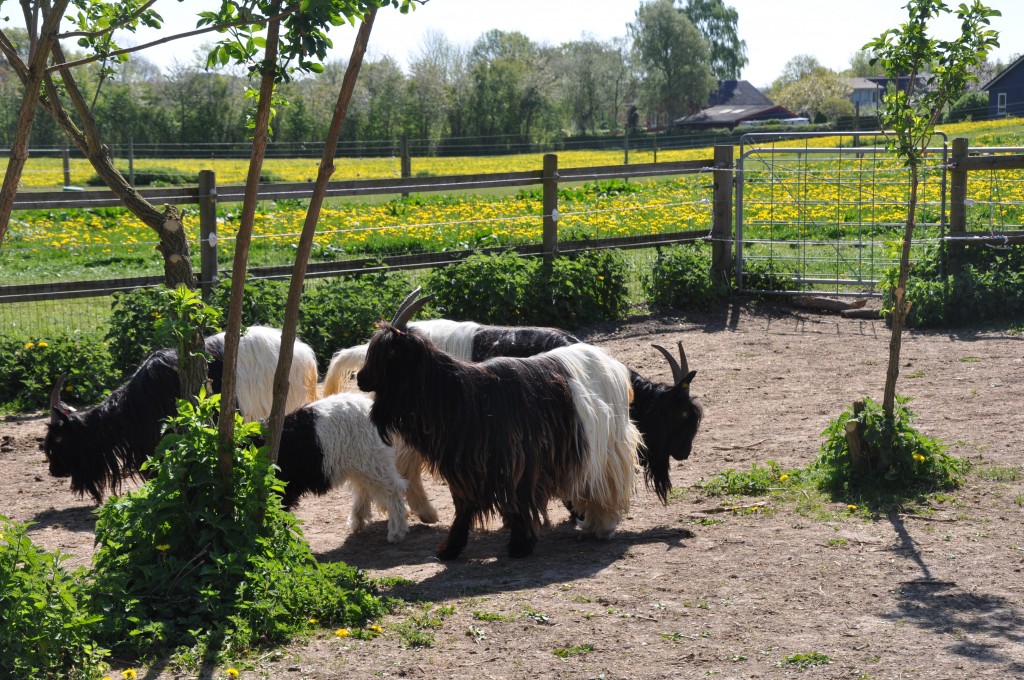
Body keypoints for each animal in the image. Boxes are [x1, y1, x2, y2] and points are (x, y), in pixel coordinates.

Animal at [272, 393, 436, 540]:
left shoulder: (282, 488)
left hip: (374, 462)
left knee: (393, 490)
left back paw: (396, 532)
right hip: (363, 464)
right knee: (363, 488)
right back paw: (358, 521)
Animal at [356, 288, 634, 561]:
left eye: (387, 352)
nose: (360, 378)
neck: (459, 395)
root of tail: (609, 363)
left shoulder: (510, 461)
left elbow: (510, 501)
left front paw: (518, 545)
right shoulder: (465, 467)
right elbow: (465, 503)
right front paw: (453, 548)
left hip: (605, 444)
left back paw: (600, 525)